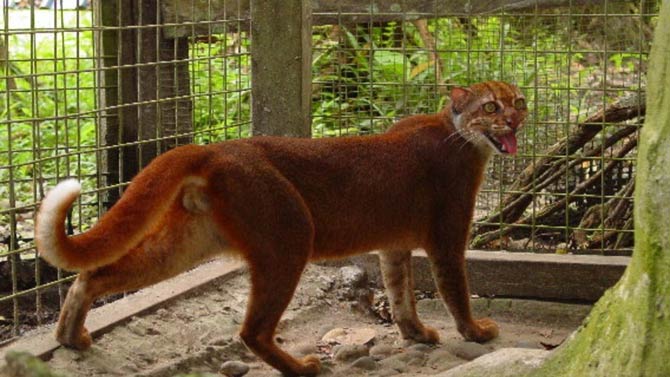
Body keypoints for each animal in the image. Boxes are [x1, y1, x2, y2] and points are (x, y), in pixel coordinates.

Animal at [36, 81, 528, 374]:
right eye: (491, 106)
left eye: (518, 100)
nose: (515, 119)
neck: (459, 135)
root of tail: (213, 149)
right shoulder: (447, 236)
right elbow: (455, 288)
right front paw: (476, 332)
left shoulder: (393, 248)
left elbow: (400, 293)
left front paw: (417, 334)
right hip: (290, 236)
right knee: (251, 330)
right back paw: (303, 366)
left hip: (189, 241)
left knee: (94, 273)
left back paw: (69, 336)